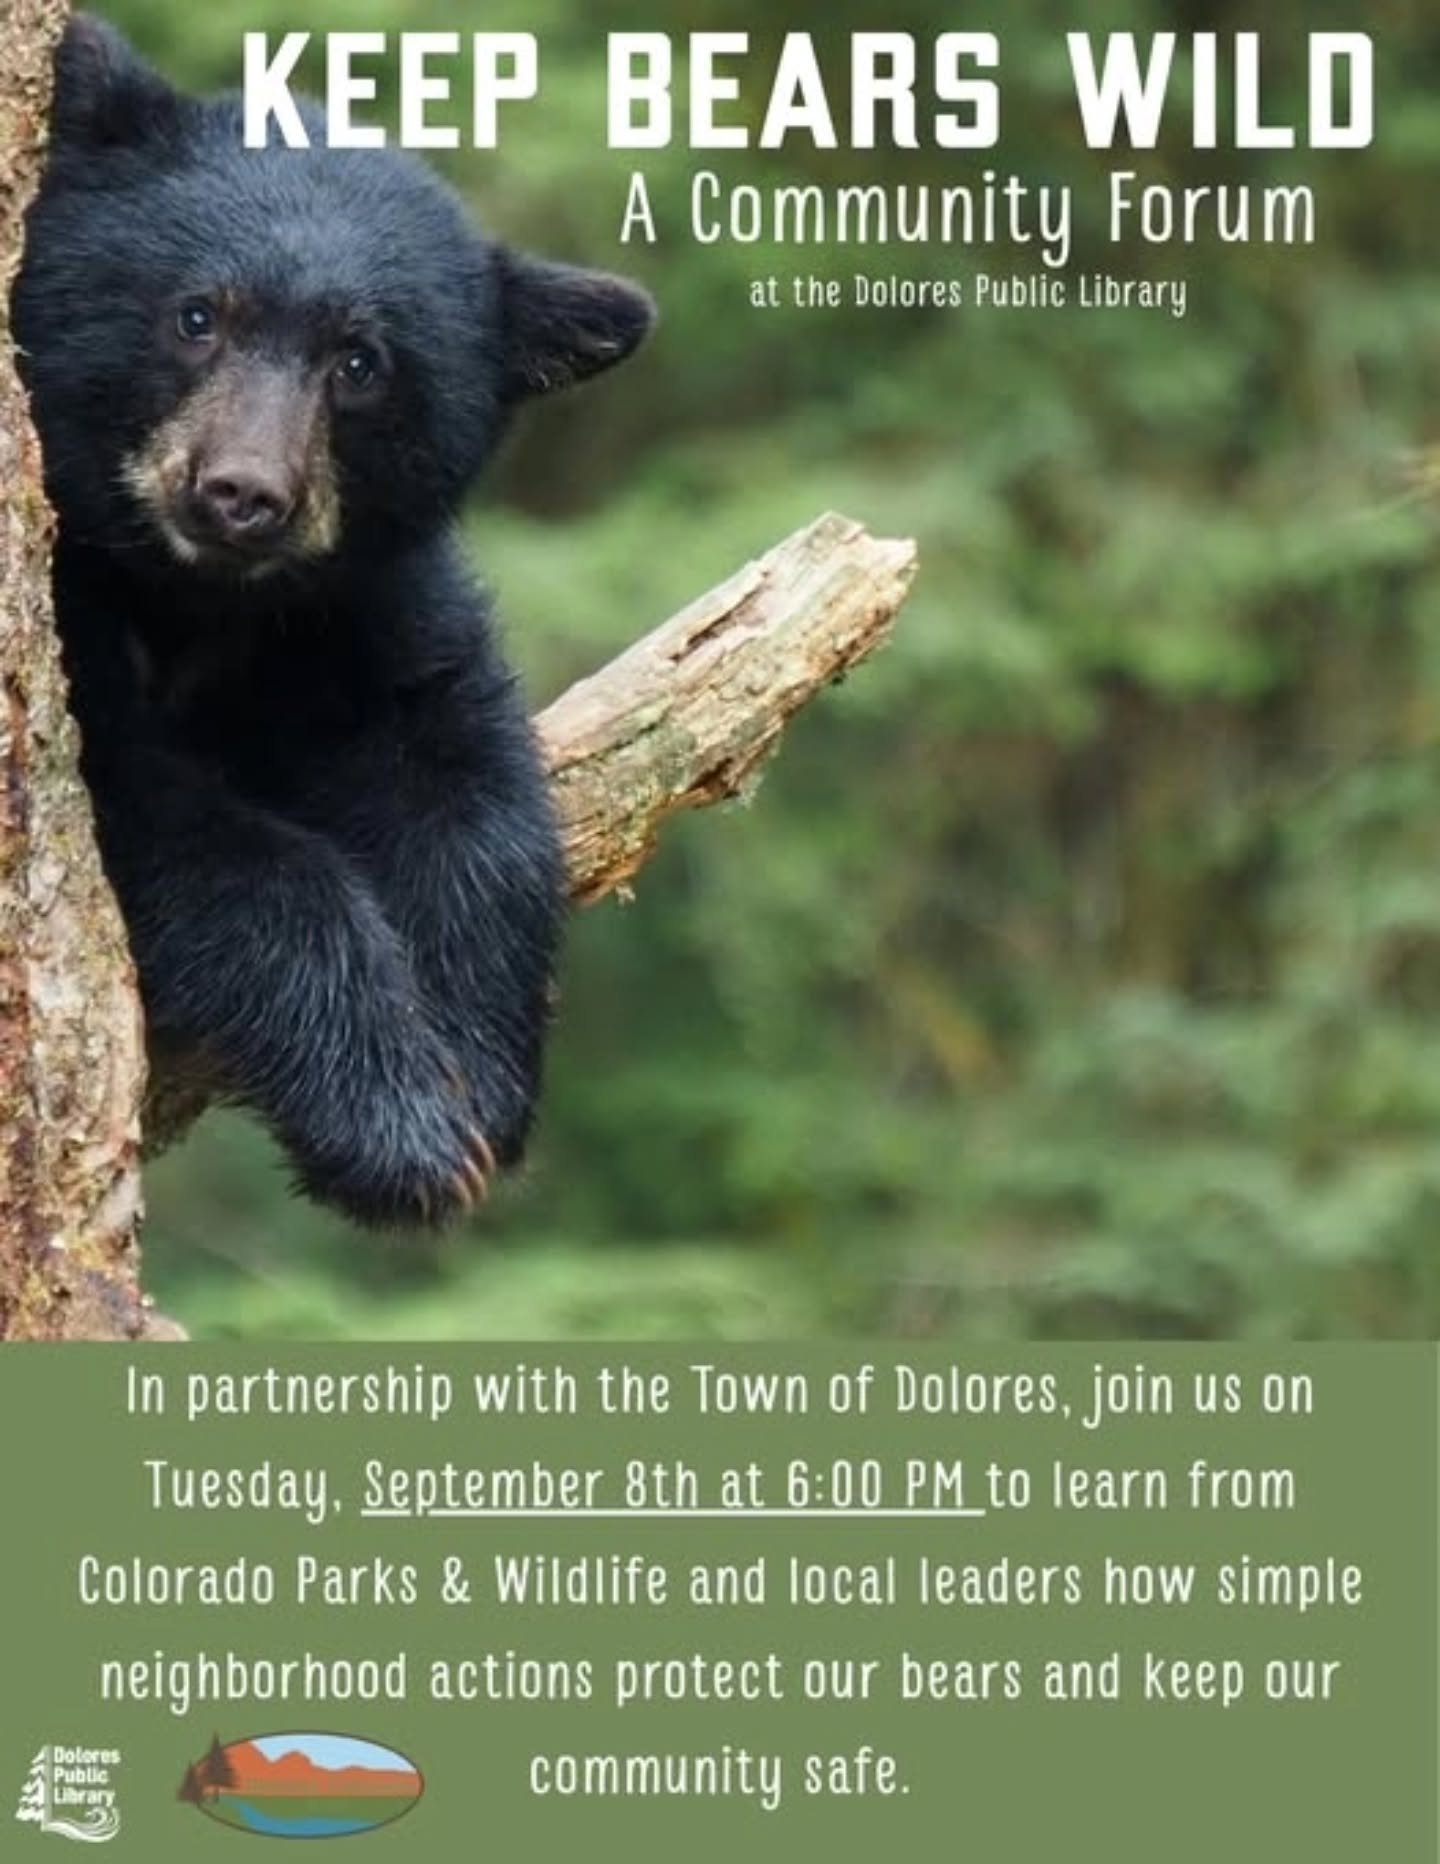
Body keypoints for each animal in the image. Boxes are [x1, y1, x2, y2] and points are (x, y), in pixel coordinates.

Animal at [12, 16, 655, 1226]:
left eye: (359, 363)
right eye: (198, 316)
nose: (240, 494)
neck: (199, 598)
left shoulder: (356, 601)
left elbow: (455, 766)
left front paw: (479, 1073)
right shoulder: (75, 627)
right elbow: (195, 834)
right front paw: (398, 1125)